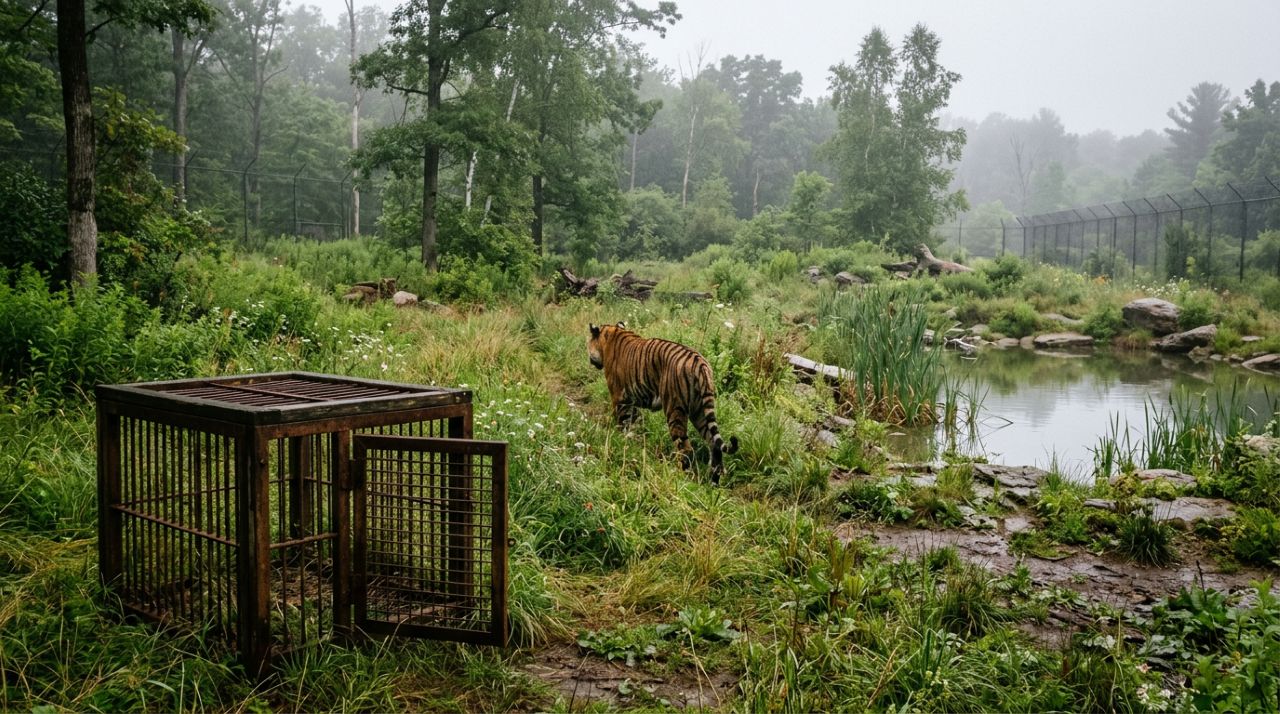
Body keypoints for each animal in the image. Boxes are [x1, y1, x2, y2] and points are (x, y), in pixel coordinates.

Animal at [587, 322, 739, 483]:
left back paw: (682, 477)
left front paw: (622, 443)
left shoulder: (619, 399)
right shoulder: (631, 402)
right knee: (713, 445)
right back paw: (713, 482)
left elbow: (622, 425)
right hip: (700, 411)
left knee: (686, 448)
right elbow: (634, 424)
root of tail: (701, 364)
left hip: (675, 409)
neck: (610, 334)